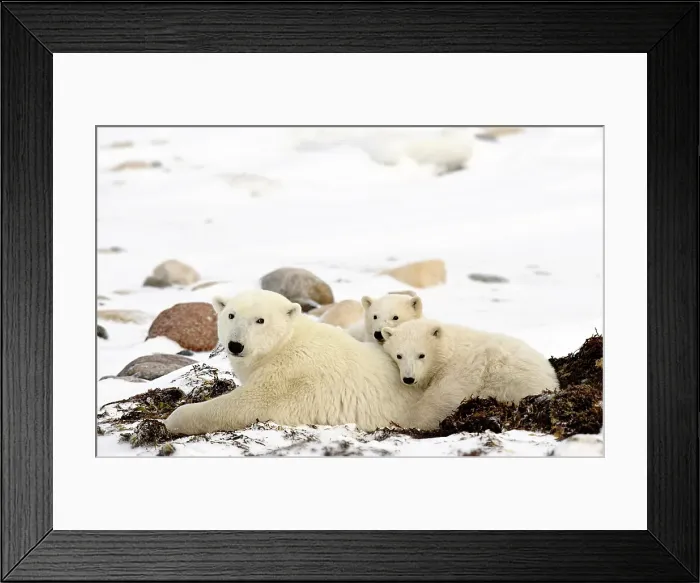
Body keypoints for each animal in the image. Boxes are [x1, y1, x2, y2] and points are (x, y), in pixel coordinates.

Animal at [163, 290, 423, 436]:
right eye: (231, 315)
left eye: (260, 320)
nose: (236, 345)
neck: (285, 343)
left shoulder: (288, 376)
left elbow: (246, 405)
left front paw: (172, 419)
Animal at [381, 319, 559, 430]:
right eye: (399, 355)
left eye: (421, 355)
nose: (408, 378)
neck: (449, 350)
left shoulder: (463, 367)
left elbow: (444, 397)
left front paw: (405, 422)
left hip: (514, 382)